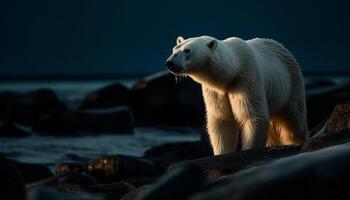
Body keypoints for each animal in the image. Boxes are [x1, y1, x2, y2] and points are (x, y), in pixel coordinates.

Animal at [165, 35, 308, 155]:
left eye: (187, 50)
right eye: (174, 49)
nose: (169, 62)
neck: (232, 70)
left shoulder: (246, 80)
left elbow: (252, 116)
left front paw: (248, 148)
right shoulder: (216, 91)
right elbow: (222, 120)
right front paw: (221, 152)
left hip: (291, 84)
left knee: (294, 121)